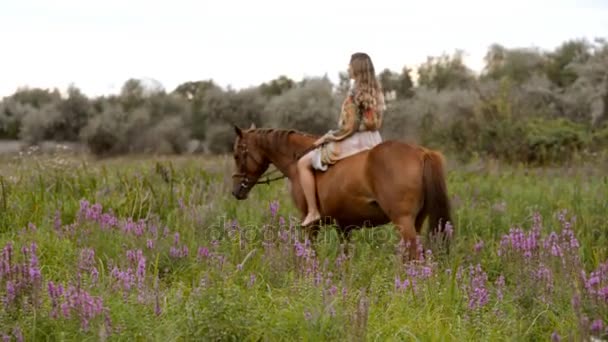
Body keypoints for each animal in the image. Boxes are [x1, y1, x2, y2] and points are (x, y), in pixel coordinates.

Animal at [230, 124, 454, 260]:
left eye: (237, 154)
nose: (235, 192)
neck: (296, 161)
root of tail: (423, 152)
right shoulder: (344, 226)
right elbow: (345, 255)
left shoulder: (310, 223)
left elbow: (310, 251)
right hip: (416, 221)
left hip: (404, 221)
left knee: (414, 254)